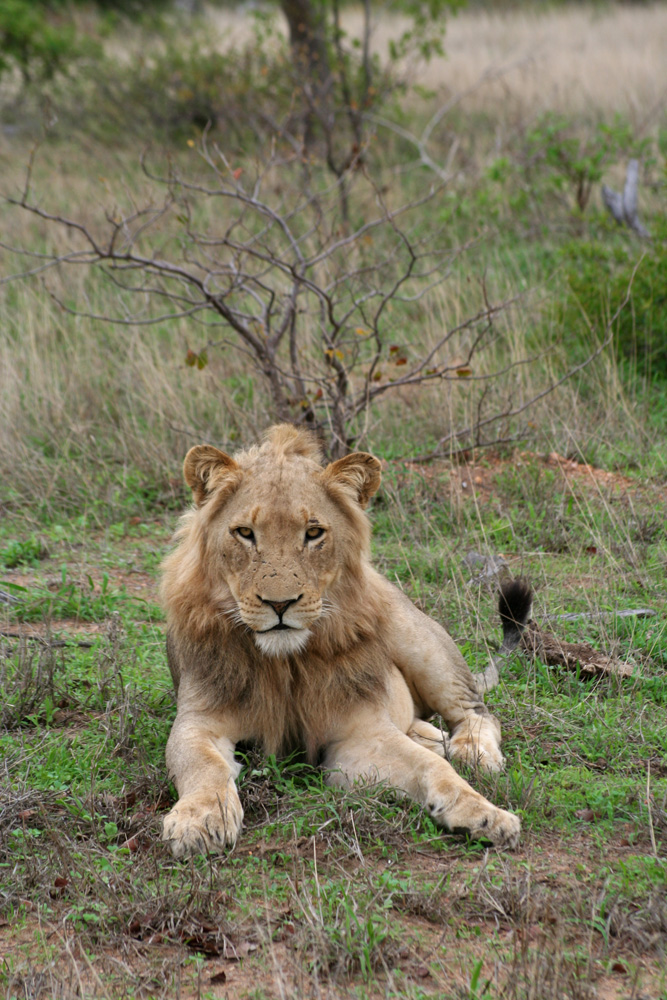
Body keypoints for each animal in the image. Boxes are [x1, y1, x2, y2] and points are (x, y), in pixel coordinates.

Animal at [160, 426, 532, 856]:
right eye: (245, 534)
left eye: (313, 533)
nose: (280, 603)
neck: (284, 663)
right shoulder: (197, 721)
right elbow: (202, 765)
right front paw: (200, 819)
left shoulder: (358, 734)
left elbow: (432, 767)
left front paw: (484, 814)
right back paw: (434, 740)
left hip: (420, 642)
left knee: (477, 713)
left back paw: (471, 752)